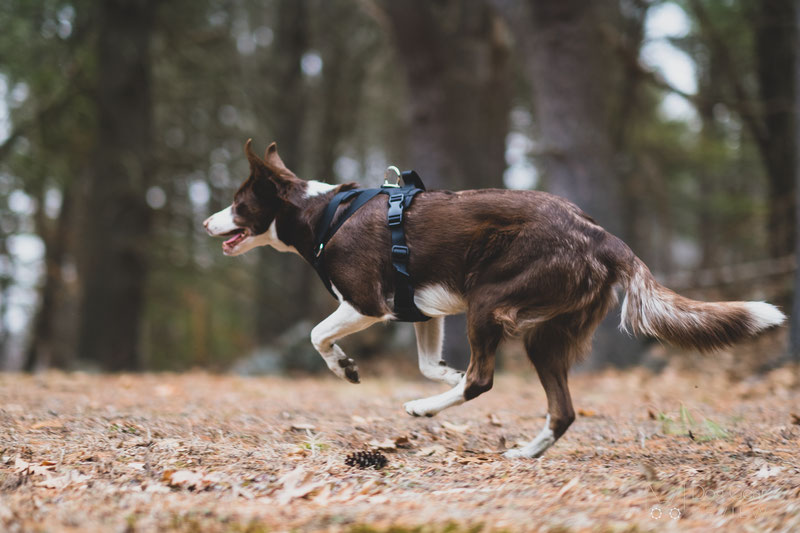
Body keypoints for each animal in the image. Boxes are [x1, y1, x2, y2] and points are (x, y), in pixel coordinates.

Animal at [205, 140, 788, 458]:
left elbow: (316, 334)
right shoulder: (421, 308)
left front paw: (346, 368)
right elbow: (427, 362)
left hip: (491, 301)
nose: (205, 223)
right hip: (547, 335)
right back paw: (523, 452)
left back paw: (424, 409)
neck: (323, 213)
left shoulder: (368, 304)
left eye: (236, 203)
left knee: (485, 380)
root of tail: (603, 236)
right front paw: (443, 374)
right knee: (560, 410)